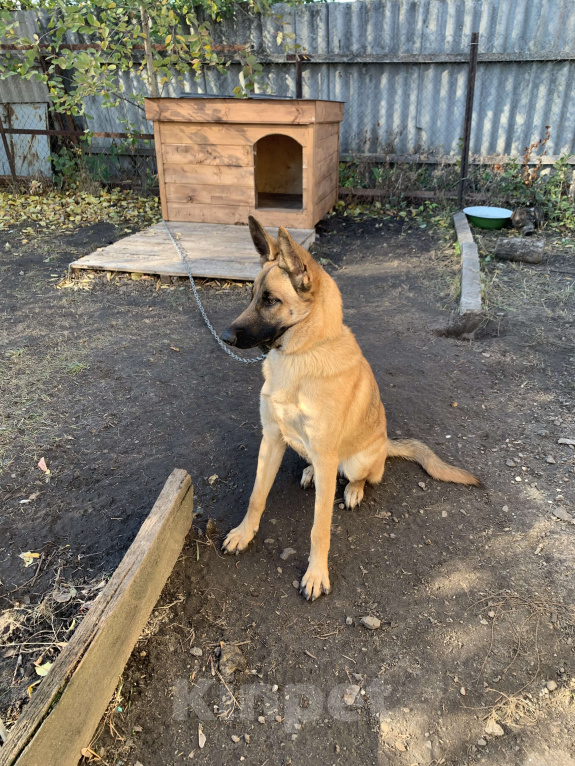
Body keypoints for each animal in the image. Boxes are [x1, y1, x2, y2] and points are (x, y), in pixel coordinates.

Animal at [222, 216, 482, 600]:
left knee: (363, 476)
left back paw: (353, 489)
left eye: (270, 300)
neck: (302, 355)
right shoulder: (271, 439)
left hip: (356, 460)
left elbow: (319, 528)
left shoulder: (324, 454)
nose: (225, 337)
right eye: (251, 295)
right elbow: (257, 496)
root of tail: (385, 444)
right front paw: (243, 534)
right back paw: (311, 473)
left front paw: (316, 574)